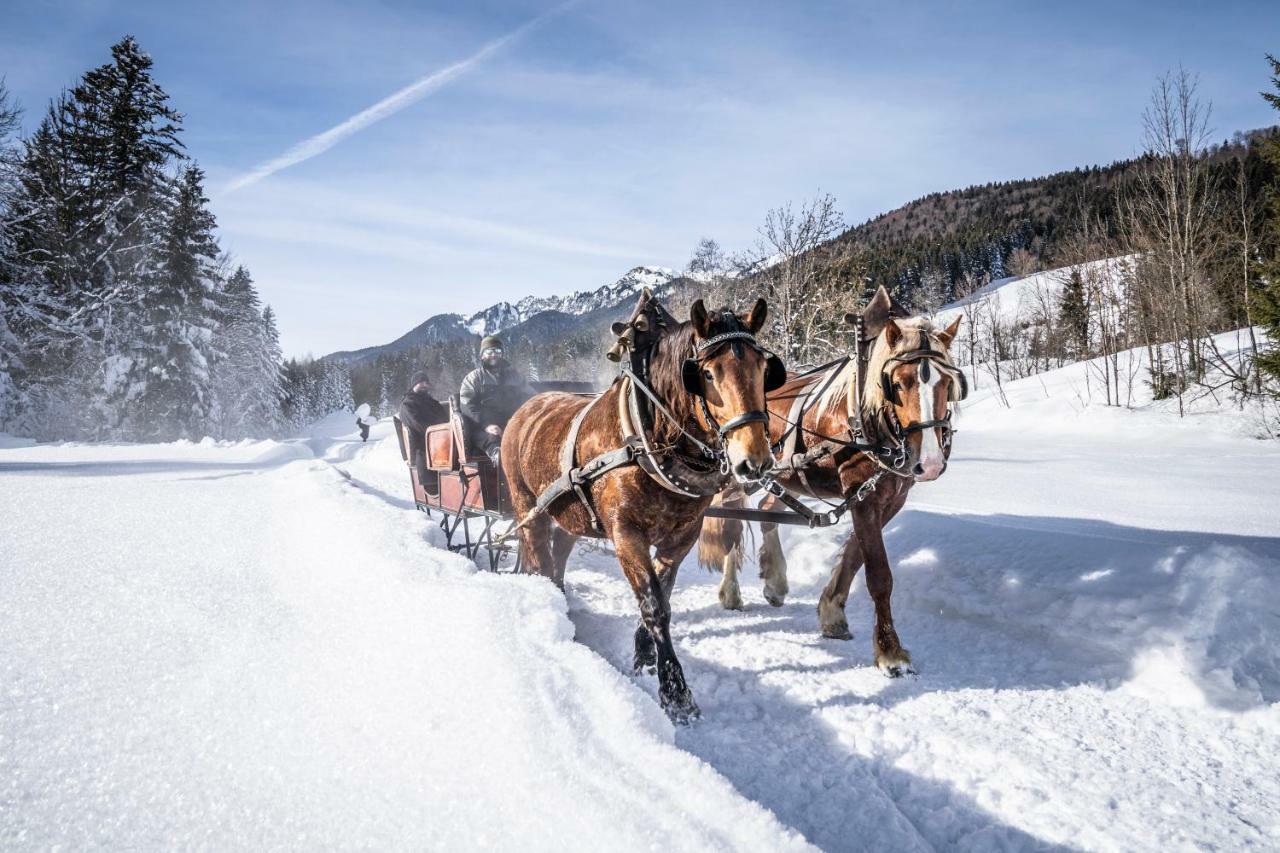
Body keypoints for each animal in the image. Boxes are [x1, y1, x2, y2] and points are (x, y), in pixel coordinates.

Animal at [504, 292, 773, 717]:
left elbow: (662, 593)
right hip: (527, 506)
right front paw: (675, 691)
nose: (754, 460)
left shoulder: (682, 536)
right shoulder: (626, 533)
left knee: (559, 553)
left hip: (569, 514)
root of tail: (525, 408)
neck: (648, 436)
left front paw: (644, 652)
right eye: (707, 374)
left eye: (765, 369)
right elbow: (654, 605)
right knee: (537, 556)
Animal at [701, 284, 962, 671]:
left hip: (787, 474)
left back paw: (775, 580)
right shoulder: (863, 494)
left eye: (948, 382)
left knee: (766, 509)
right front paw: (890, 651)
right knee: (732, 525)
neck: (862, 416)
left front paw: (832, 612)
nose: (928, 462)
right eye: (898, 384)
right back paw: (731, 591)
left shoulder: (888, 497)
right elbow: (879, 574)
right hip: (738, 472)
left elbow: (854, 556)